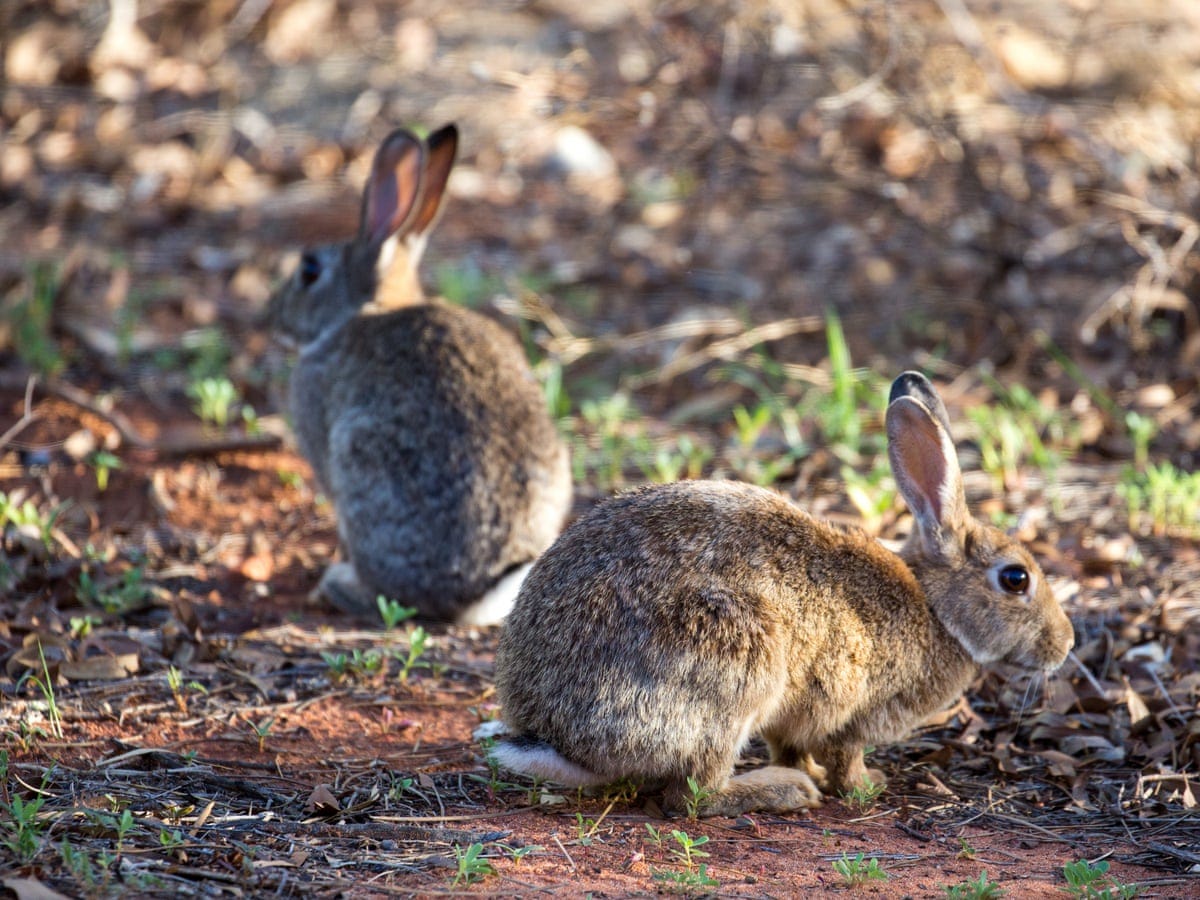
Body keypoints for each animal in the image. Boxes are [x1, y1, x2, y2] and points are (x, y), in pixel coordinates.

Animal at [267, 123, 571, 624]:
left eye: (309, 270)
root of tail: (479, 591)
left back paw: (338, 585)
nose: (271, 315)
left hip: (363, 461)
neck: (366, 308)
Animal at [492, 372, 1075, 816]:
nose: (1065, 643)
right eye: (1016, 579)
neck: (936, 609)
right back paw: (784, 791)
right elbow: (844, 757)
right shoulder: (854, 711)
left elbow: (792, 745)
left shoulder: (796, 716)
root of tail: (558, 737)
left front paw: (812, 770)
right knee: (692, 796)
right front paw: (865, 786)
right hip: (733, 665)